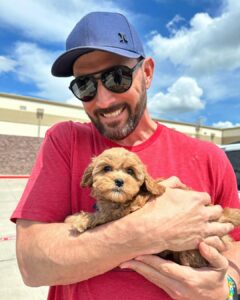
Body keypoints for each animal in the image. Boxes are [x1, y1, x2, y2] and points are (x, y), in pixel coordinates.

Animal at [64, 148, 240, 268]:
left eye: (130, 171)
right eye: (106, 168)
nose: (119, 181)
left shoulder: (125, 211)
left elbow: (104, 214)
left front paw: (80, 219)